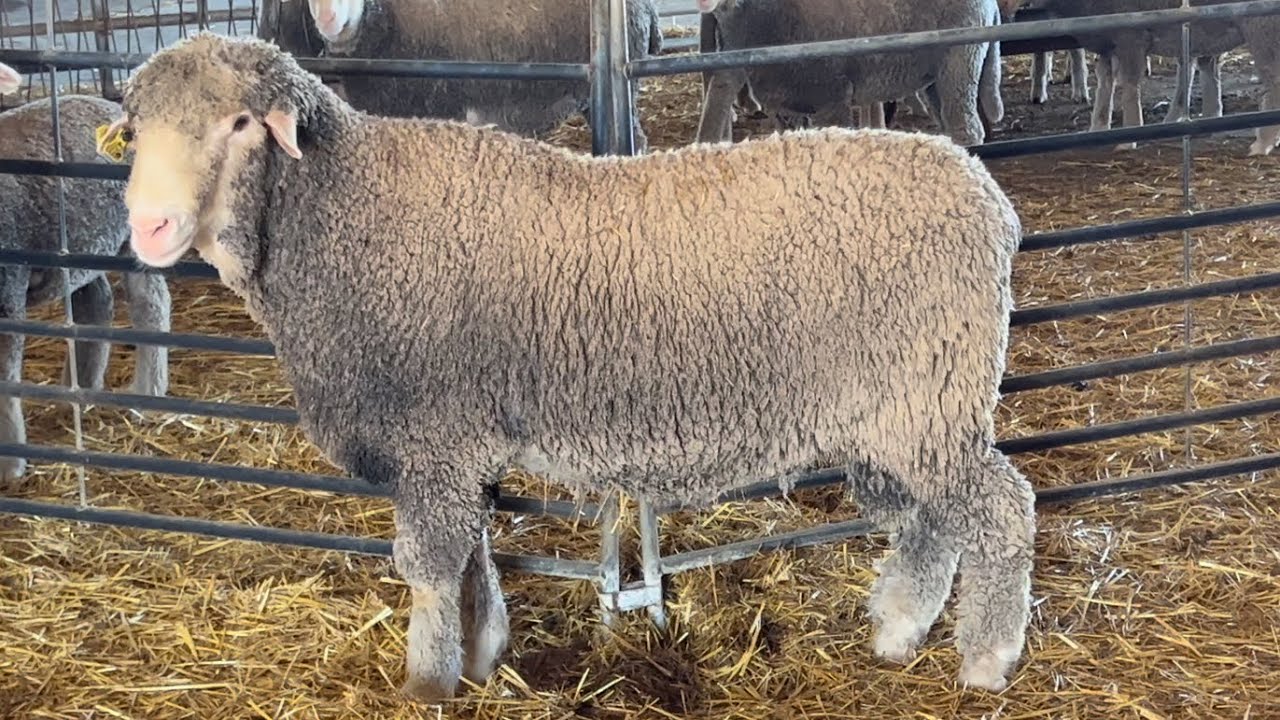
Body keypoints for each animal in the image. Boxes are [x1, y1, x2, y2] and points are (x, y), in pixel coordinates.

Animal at [0, 95, 171, 482]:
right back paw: (78, 391)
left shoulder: (8, 289)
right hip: (83, 248)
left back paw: (147, 393)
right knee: (96, 304)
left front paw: (10, 466)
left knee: (150, 303)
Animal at [113, 31, 1037, 701]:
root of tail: (987, 198)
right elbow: (474, 550)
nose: (148, 225)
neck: (344, 214)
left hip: (928, 394)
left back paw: (985, 659)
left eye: (239, 124)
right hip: (904, 411)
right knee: (933, 517)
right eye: (136, 129)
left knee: (999, 508)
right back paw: (899, 631)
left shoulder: (433, 431)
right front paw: (482, 654)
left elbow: (430, 564)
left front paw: (426, 681)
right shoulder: (457, 440)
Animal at [693, 0, 1005, 147]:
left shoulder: (832, 98)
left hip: (960, 59)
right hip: (934, 75)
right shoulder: (785, 107)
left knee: (967, 127)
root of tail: (991, 5)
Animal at [1027, 0, 1280, 155]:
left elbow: (1129, 83)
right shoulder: (1108, 41)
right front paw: (1097, 128)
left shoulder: (1130, 35)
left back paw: (1263, 143)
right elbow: (1105, 82)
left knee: (1273, 79)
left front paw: (1129, 137)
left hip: (1261, 25)